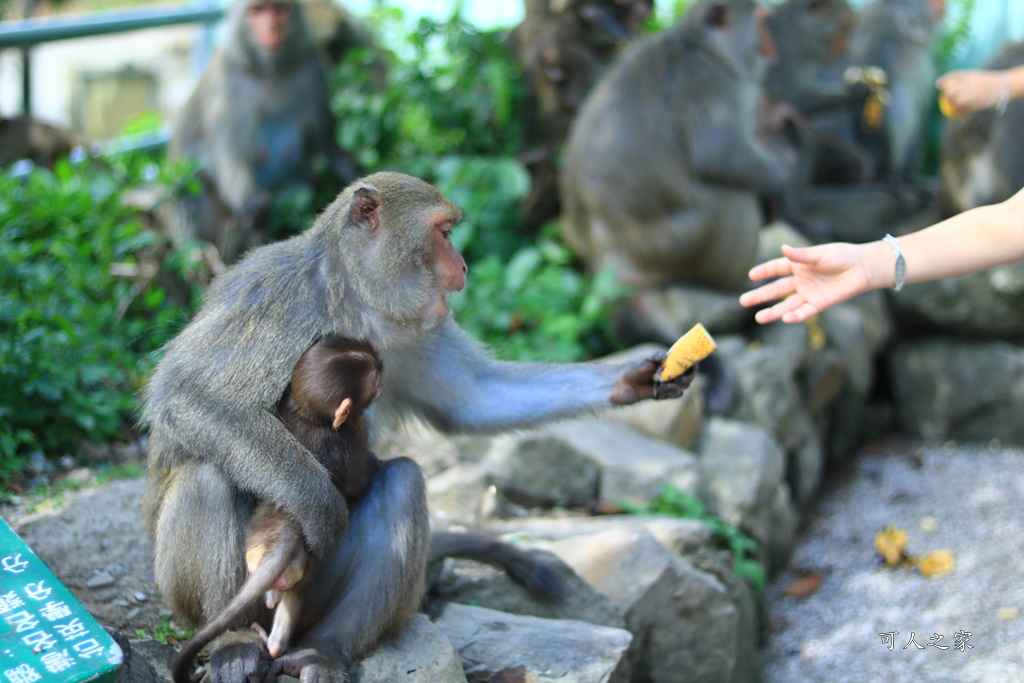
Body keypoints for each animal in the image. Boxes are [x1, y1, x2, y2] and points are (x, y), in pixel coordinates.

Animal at [174, 337, 382, 683]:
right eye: (376, 383)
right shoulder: (355, 434)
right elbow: (358, 481)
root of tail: (285, 534)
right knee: (295, 598)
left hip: (260, 556)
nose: (382, 372)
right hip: (299, 567)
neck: (311, 418)